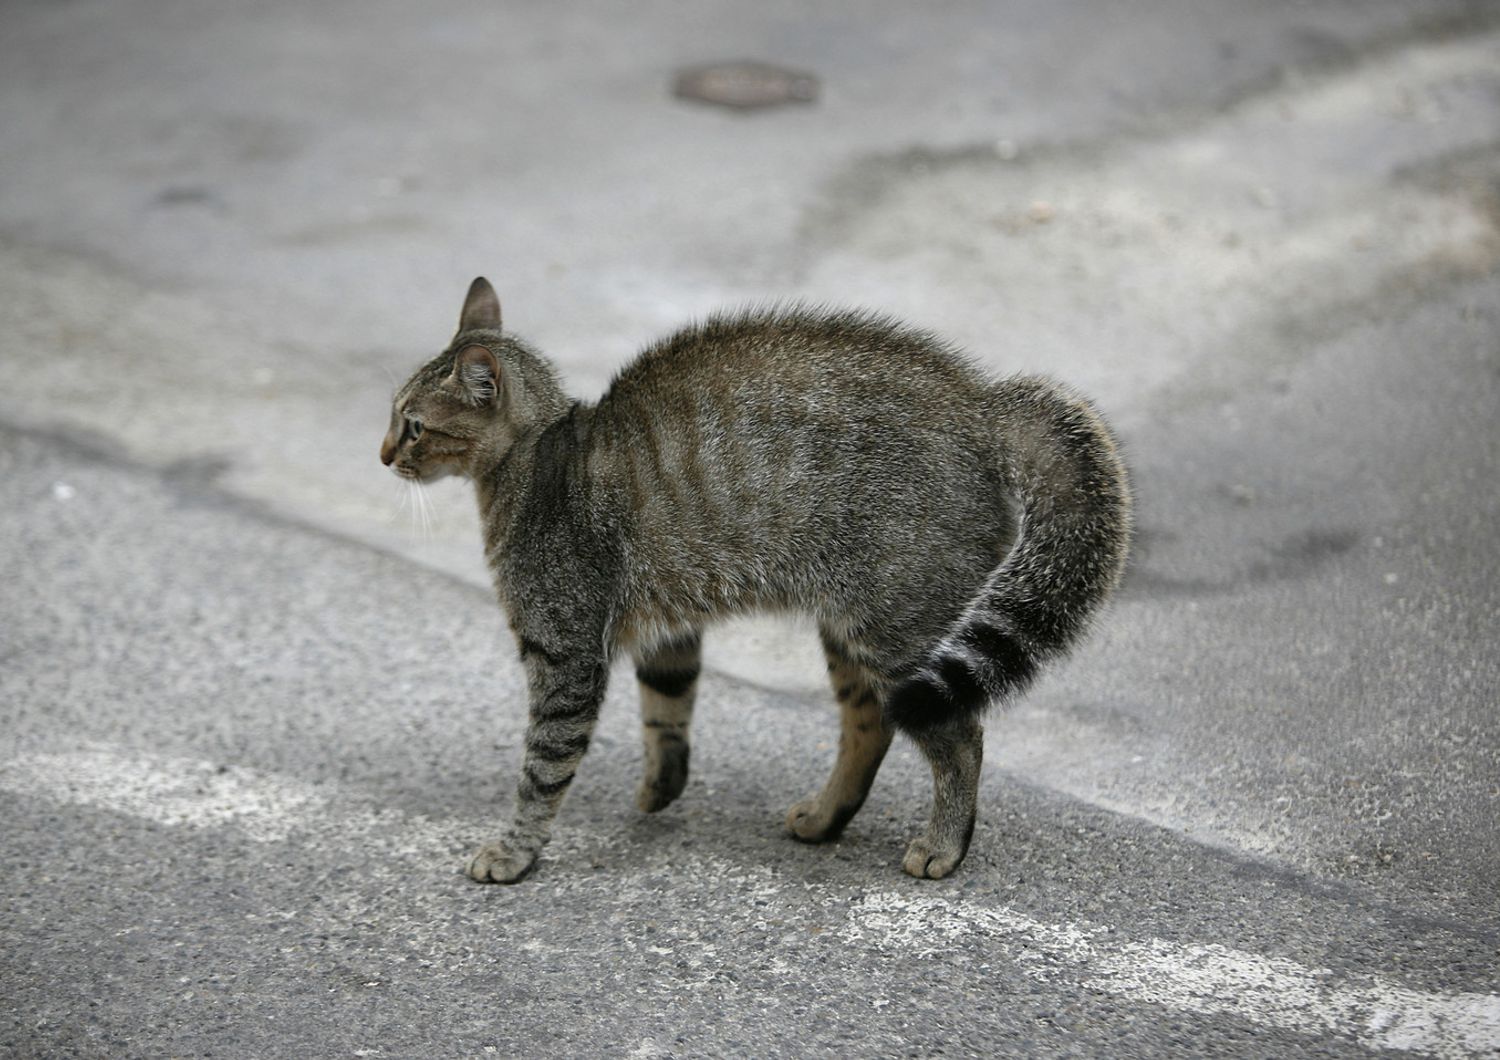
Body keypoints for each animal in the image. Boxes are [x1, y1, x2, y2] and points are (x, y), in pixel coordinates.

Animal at [381, 277, 1128, 881]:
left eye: (412, 425)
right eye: (395, 418)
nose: (383, 454)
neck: (535, 456)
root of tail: (981, 403)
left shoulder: (563, 653)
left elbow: (542, 768)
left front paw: (514, 851)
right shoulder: (669, 628)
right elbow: (666, 710)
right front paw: (662, 786)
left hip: (895, 631)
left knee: (960, 737)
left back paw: (943, 844)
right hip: (851, 631)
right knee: (870, 725)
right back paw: (826, 817)